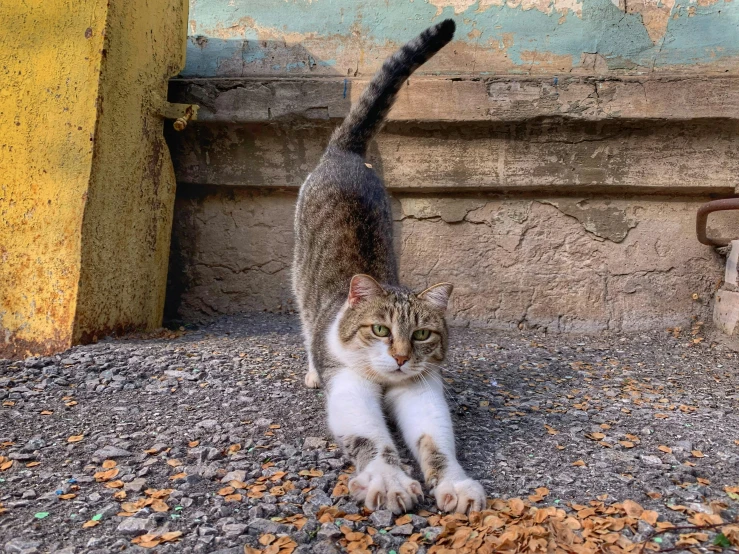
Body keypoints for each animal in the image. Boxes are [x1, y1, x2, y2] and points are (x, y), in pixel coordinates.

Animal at [292, 20, 488, 512]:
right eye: (379, 330)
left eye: (420, 335)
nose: (399, 357)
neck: (383, 379)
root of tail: (346, 152)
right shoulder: (348, 384)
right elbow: (371, 439)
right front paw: (388, 480)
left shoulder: (421, 388)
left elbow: (436, 441)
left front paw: (454, 484)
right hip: (297, 276)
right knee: (303, 321)